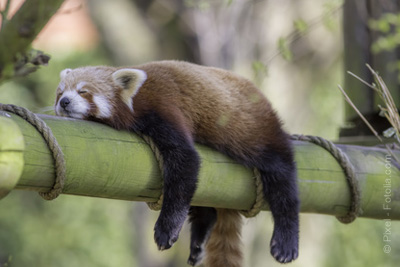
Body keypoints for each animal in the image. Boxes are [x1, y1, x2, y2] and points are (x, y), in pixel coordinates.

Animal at [54, 60, 298, 267]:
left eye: (83, 91)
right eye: (60, 93)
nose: (64, 102)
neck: (137, 98)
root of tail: (257, 91)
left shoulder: (164, 106)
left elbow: (185, 162)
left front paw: (166, 229)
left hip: (253, 127)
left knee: (281, 172)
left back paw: (286, 239)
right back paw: (199, 238)